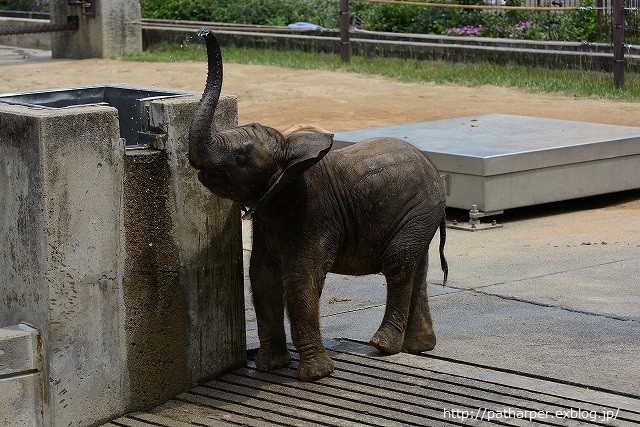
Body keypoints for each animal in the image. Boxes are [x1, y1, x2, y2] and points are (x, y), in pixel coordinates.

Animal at [188, 28, 448, 382]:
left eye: (241, 157)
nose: (202, 33)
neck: (288, 150)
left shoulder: (313, 212)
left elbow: (301, 279)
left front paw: (315, 376)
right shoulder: (270, 218)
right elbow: (262, 277)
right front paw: (270, 367)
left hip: (420, 209)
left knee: (398, 263)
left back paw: (382, 346)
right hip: (421, 214)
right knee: (417, 267)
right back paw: (418, 348)